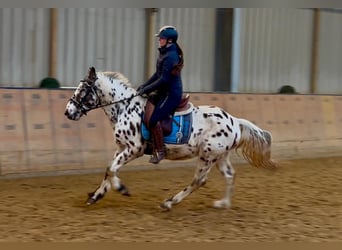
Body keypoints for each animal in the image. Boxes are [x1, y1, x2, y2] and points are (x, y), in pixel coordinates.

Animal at [65, 67, 278, 211]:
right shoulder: (121, 148)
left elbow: (111, 170)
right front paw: (96, 195)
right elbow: (109, 169)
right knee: (229, 175)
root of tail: (234, 121)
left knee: (198, 181)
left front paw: (121, 188)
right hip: (219, 156)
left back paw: (169, 202)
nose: (68, 112)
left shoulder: (134, 149)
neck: (125, 107)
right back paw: (223, 203)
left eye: (83, 90)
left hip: (207, 156)